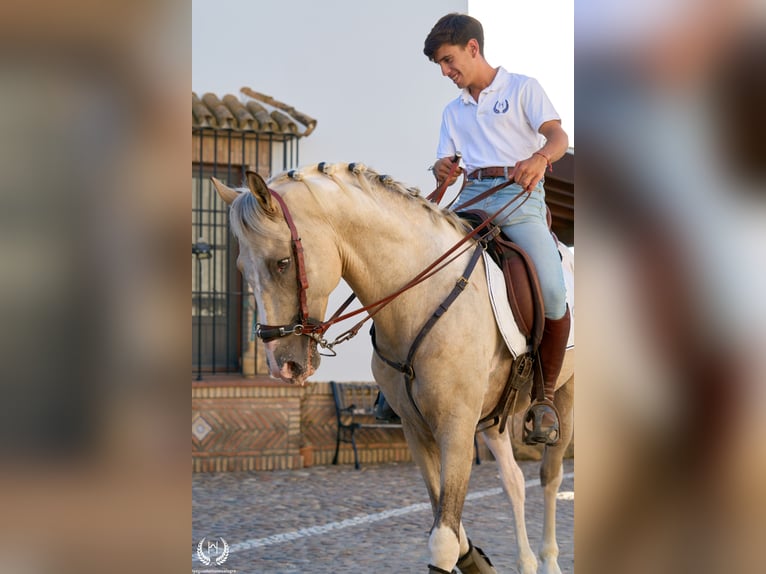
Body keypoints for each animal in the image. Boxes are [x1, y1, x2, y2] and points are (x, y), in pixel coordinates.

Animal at [212, 163, 574, 574]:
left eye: (282, 262)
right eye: (241, 267)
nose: (281, 365)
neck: (422, 295)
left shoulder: (455, 427)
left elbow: (444, 541)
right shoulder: (417, 429)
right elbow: (451, 528)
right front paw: (477, 561)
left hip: (562, 399)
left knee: (550, 478)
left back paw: (547, 559)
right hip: (492, 417)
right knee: (513, 480)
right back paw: (526, 561)